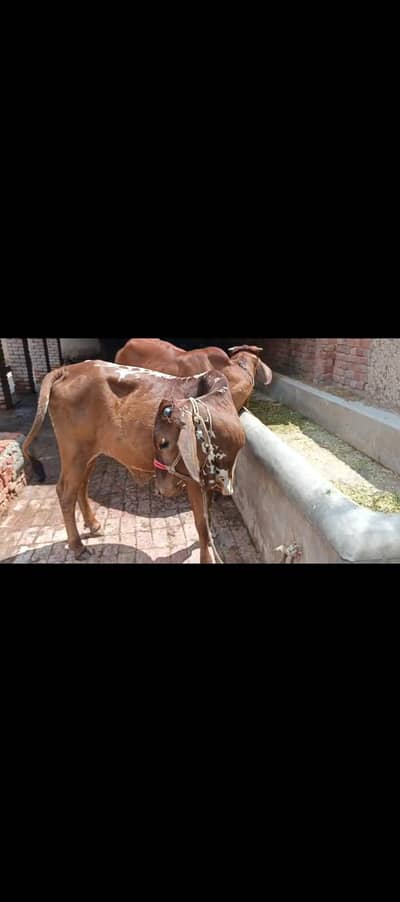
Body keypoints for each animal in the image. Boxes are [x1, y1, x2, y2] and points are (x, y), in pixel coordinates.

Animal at [22, 361, 245, 564]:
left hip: (89, 453)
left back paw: (93, 525)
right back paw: (78, 546)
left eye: (164, 442)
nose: (161, 487)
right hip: (74, 452)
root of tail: (69, 369)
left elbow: (208, 519)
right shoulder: (193, 481)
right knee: (65, 492)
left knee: (81, 486)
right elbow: (201, 523)